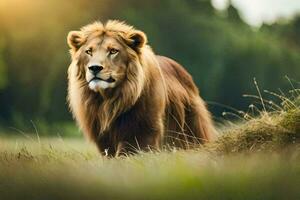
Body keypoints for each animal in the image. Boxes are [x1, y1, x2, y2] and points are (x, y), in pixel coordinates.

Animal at [67, 19, 217, 156]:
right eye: (89, 51)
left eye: (113, 51)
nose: (94, 68)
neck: (109, 99)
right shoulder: (103, 137)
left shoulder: (143, 130)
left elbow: (128, 152)